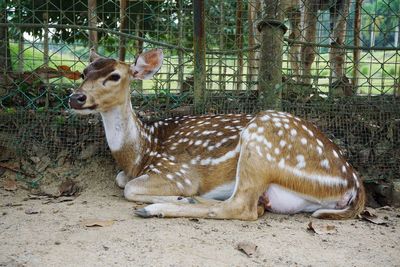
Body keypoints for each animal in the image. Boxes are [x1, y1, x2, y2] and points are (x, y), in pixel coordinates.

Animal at [69, 48, 366, 222]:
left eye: (115, 76)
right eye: (84, 72)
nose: (76, 97)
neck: (141, 152)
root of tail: (353, 183)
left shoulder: (177, 172)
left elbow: (129, 187)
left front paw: (177, 196)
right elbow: (121, 180)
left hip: (260, 141)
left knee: (243, 208)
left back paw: (156, 208)